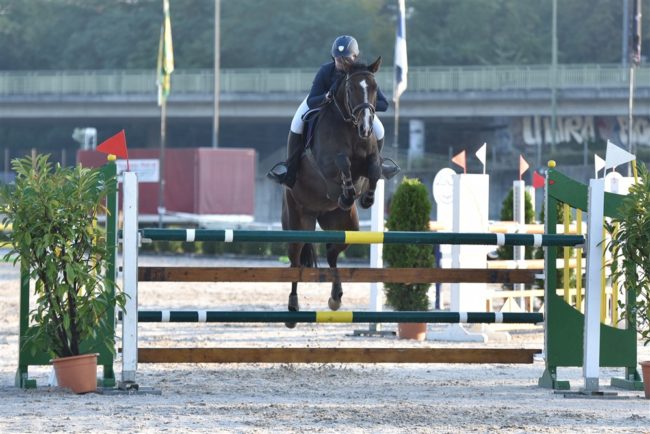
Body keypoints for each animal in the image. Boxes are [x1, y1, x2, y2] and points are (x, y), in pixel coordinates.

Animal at [281, 57, 384, 328]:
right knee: (295, 261)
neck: (349, 126)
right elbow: (341, 162)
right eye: (350, 89)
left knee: (332, 251)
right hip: (296, 220)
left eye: (374, 88)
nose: (366, 128)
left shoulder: (370, 159)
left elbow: (375, 168)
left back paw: (336, 298)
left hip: (345, 225)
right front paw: (348, 192)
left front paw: (367, 197)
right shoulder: (327, 162)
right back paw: (292, 308)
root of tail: (316, 213)